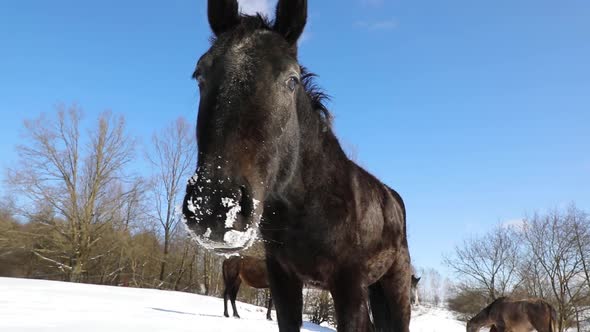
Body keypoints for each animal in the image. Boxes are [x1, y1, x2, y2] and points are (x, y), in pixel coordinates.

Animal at [184, 0, 412, 332]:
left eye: (291, 80)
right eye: (199, 74)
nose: (215, 208)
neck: (312, 201)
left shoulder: (349, 287)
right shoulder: (283, 280)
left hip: (394, 285)